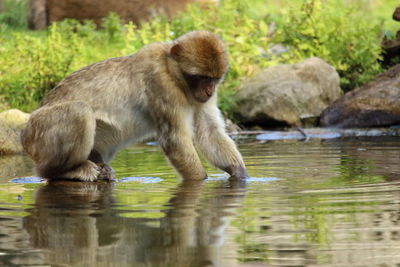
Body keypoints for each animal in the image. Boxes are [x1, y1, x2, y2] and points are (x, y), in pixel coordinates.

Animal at [21, 30, 248, 182]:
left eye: (214, 79)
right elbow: (175, 140)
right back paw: (65, 171)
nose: (208, 91)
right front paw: (201, 181)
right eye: (200, 77)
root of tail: (25, 136)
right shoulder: (161, 84)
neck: (171, 71)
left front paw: (241, 176)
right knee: (79, 111)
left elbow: (209, 132)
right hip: (39, 137)